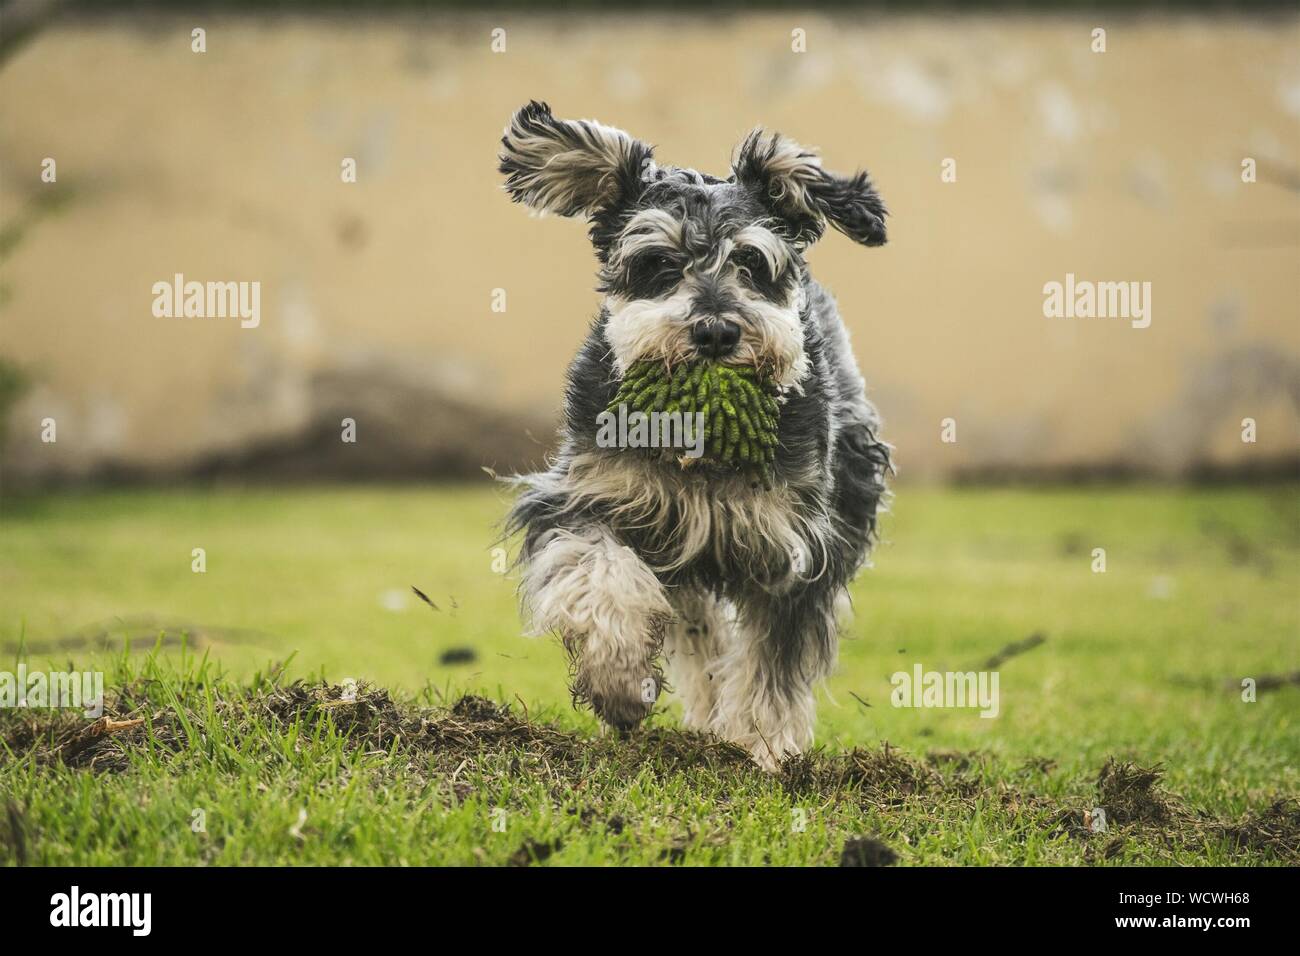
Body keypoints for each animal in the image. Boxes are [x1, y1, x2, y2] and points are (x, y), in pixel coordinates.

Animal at [499, 100, 894, 770]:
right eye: (658, 262)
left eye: (753, 261)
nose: (714, 331)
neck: (702, 447)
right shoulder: (589, 498)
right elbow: (601, 577)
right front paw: (619, 684)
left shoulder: (796, 548)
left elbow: (771, 661)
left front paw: (762, 747)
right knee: (694, 629)